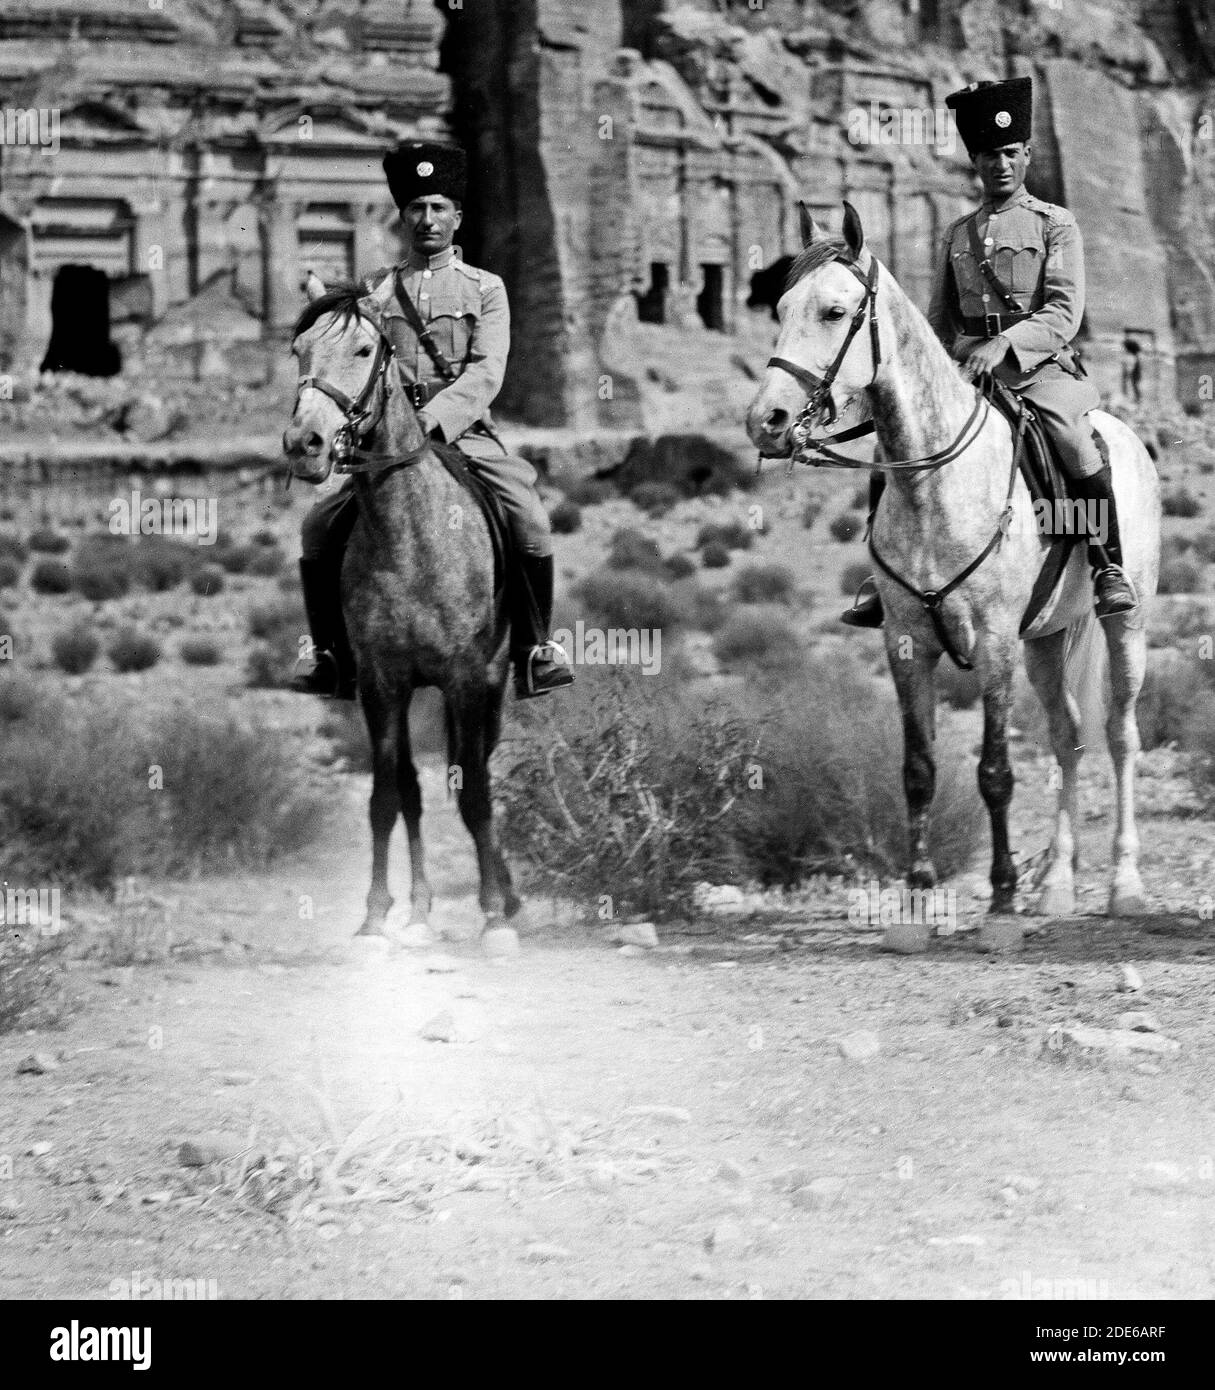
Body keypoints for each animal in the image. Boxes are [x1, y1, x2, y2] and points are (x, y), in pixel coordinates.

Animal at [283, 273, 519, 945]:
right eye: (299, 351)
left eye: (366, 349)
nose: (305, 444)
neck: (408, 538)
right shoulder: (380, 683)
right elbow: (387, 796)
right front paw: (375, 915)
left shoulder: (464, 679)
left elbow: (474, 792)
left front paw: (495, 915)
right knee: (413, 788)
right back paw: (418, 907)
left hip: (492, 681)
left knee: (478, 769)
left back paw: (504, 894)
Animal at [745, 202, 1162, 922]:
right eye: (782, 308)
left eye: (833, 311)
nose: (765, 420)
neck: (932, 483)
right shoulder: (906, 644)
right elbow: (918, 770)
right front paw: (917, 895)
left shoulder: (992, 644)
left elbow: (994, 770)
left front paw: (1001, 893)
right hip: (1044, 641)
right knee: (1067, 735)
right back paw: (1056, 883)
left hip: (1123, 628)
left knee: (1120, 735)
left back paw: (1123, 884)